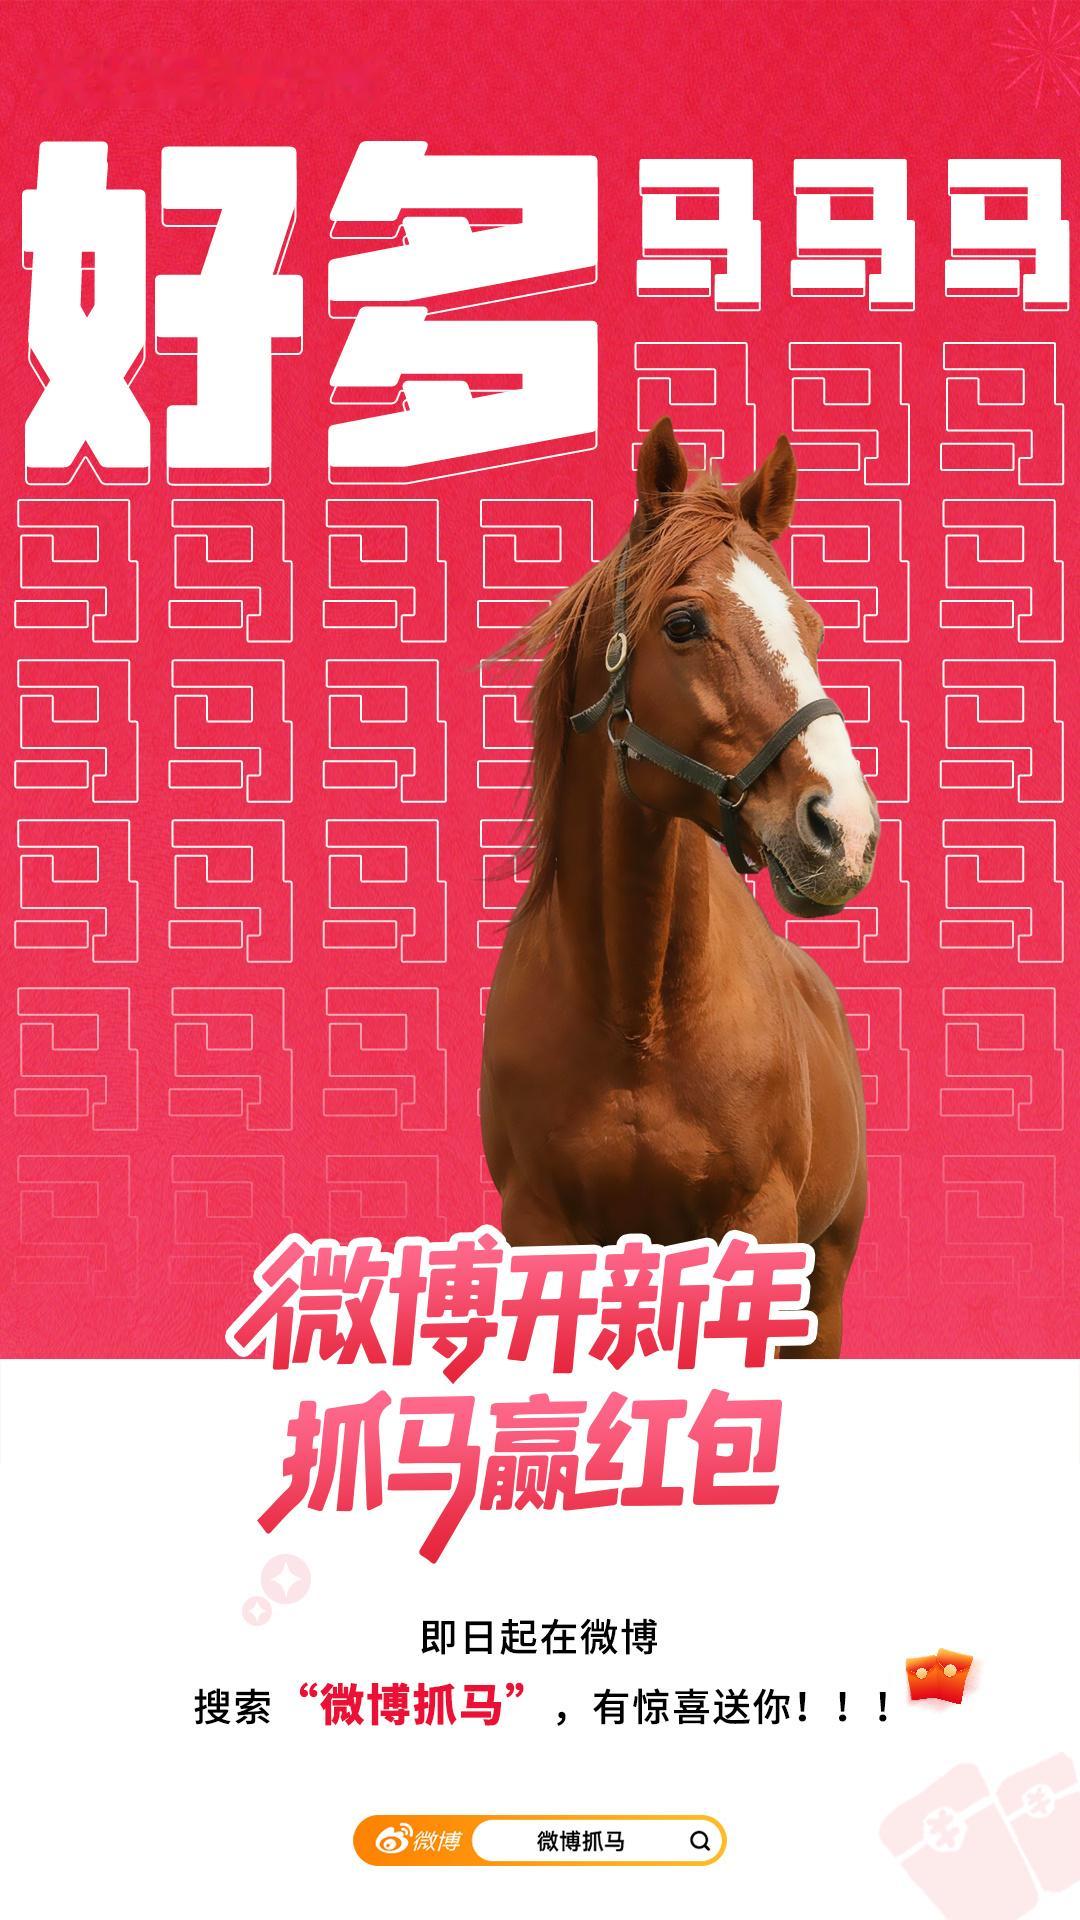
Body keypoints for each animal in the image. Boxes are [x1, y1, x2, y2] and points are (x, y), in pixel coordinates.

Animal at [480, 419, 880, 1356]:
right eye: (685, 623)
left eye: (809, 626)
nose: (842, 830)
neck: (639, 1017)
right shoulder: (542, 1233)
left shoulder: (757, 1231)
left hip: (826, 1284)